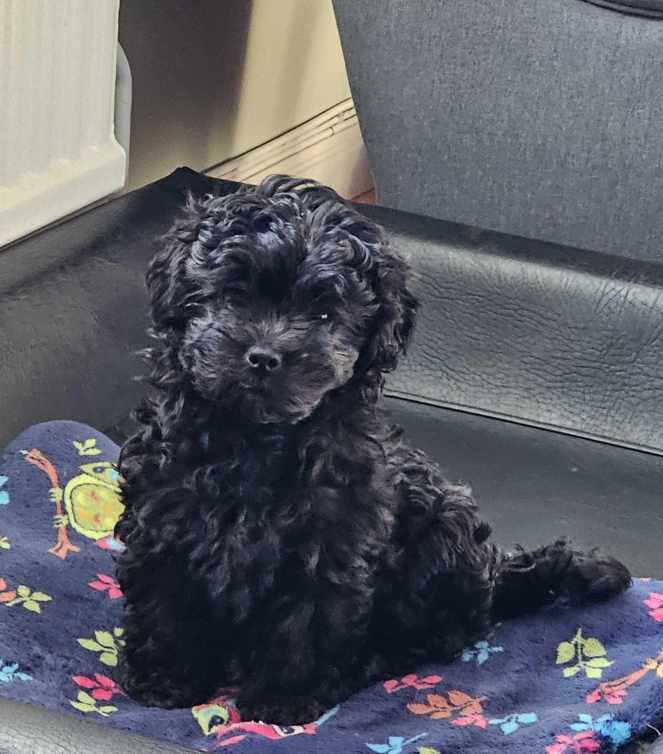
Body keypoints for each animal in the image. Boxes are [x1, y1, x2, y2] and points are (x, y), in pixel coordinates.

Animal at [115, 176, 631, 724]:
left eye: (323, 314)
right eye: (234, 294)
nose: (264, 356)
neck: (258, 439)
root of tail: (493, 581)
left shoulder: (330, 540)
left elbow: (305, 621)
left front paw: (284, 699)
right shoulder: (165, 519)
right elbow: (166, 604)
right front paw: (162, 681)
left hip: (443, 531)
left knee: (436, 632)